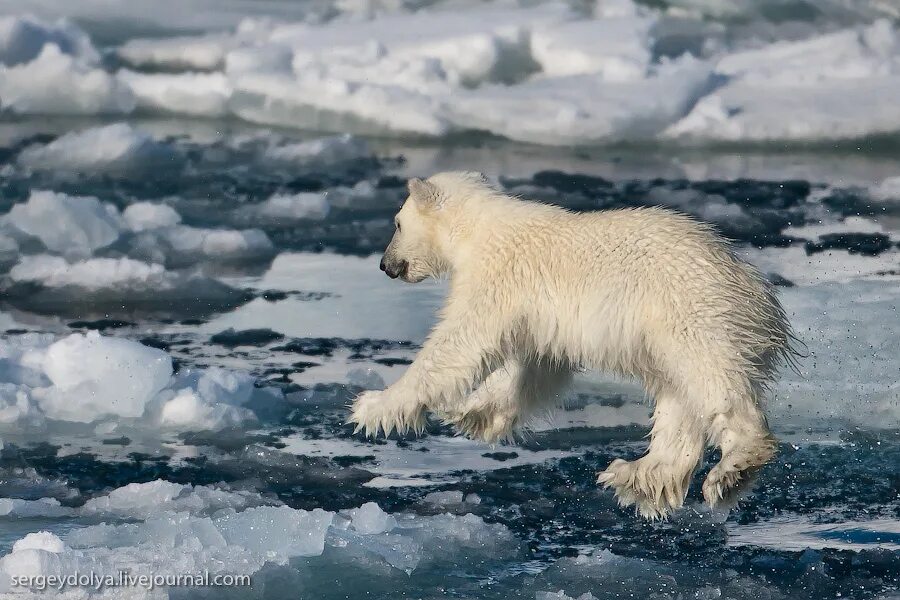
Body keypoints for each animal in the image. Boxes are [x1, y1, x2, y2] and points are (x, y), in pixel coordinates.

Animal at [348, 171, 800, 516]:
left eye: (397, 223)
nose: (385, 265)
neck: (479, 228)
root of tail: (758, 293)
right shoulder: (541, 316)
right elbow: (535, 367)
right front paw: (473, 414)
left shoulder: (497, 277)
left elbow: (460, 343)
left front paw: (374, 405)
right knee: (678, 396)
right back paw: (639, 475)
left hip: (690, 313)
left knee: (712, 383)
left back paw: (731, 470)